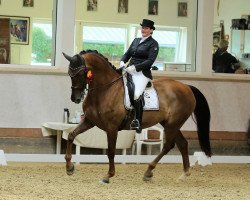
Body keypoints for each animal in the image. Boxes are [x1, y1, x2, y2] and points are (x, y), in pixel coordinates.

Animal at [62, 49, 211, 183]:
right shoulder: (89, 121)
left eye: (81, 73)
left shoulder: (112, 127)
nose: (75, 98)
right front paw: (69, 168)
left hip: (173, 124)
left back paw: (149, 171)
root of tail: (186, 86)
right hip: (170, 123)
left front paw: (108, 175)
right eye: (69, 74)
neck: (105, 89)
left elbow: (111, 151)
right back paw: (183, 174)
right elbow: (71, 136)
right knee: (182, 144)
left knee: (169, 145)